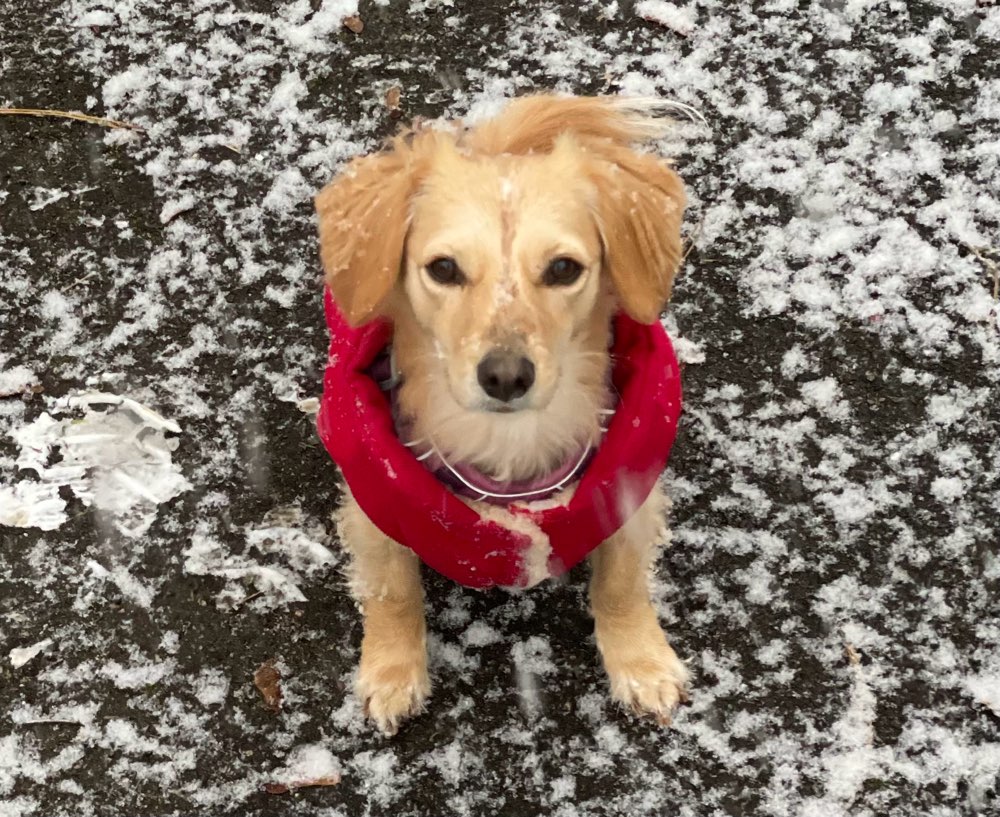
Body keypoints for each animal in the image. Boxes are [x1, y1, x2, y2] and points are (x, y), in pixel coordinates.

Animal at [316, 95, 692, 732]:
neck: (509, 445)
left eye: (563, 268)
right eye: (443, 268)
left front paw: (640, 661)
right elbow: (393, 590)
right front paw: (392, 671)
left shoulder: (628, 491)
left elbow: (621, 582)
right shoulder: (374, 500)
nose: (507, 377)